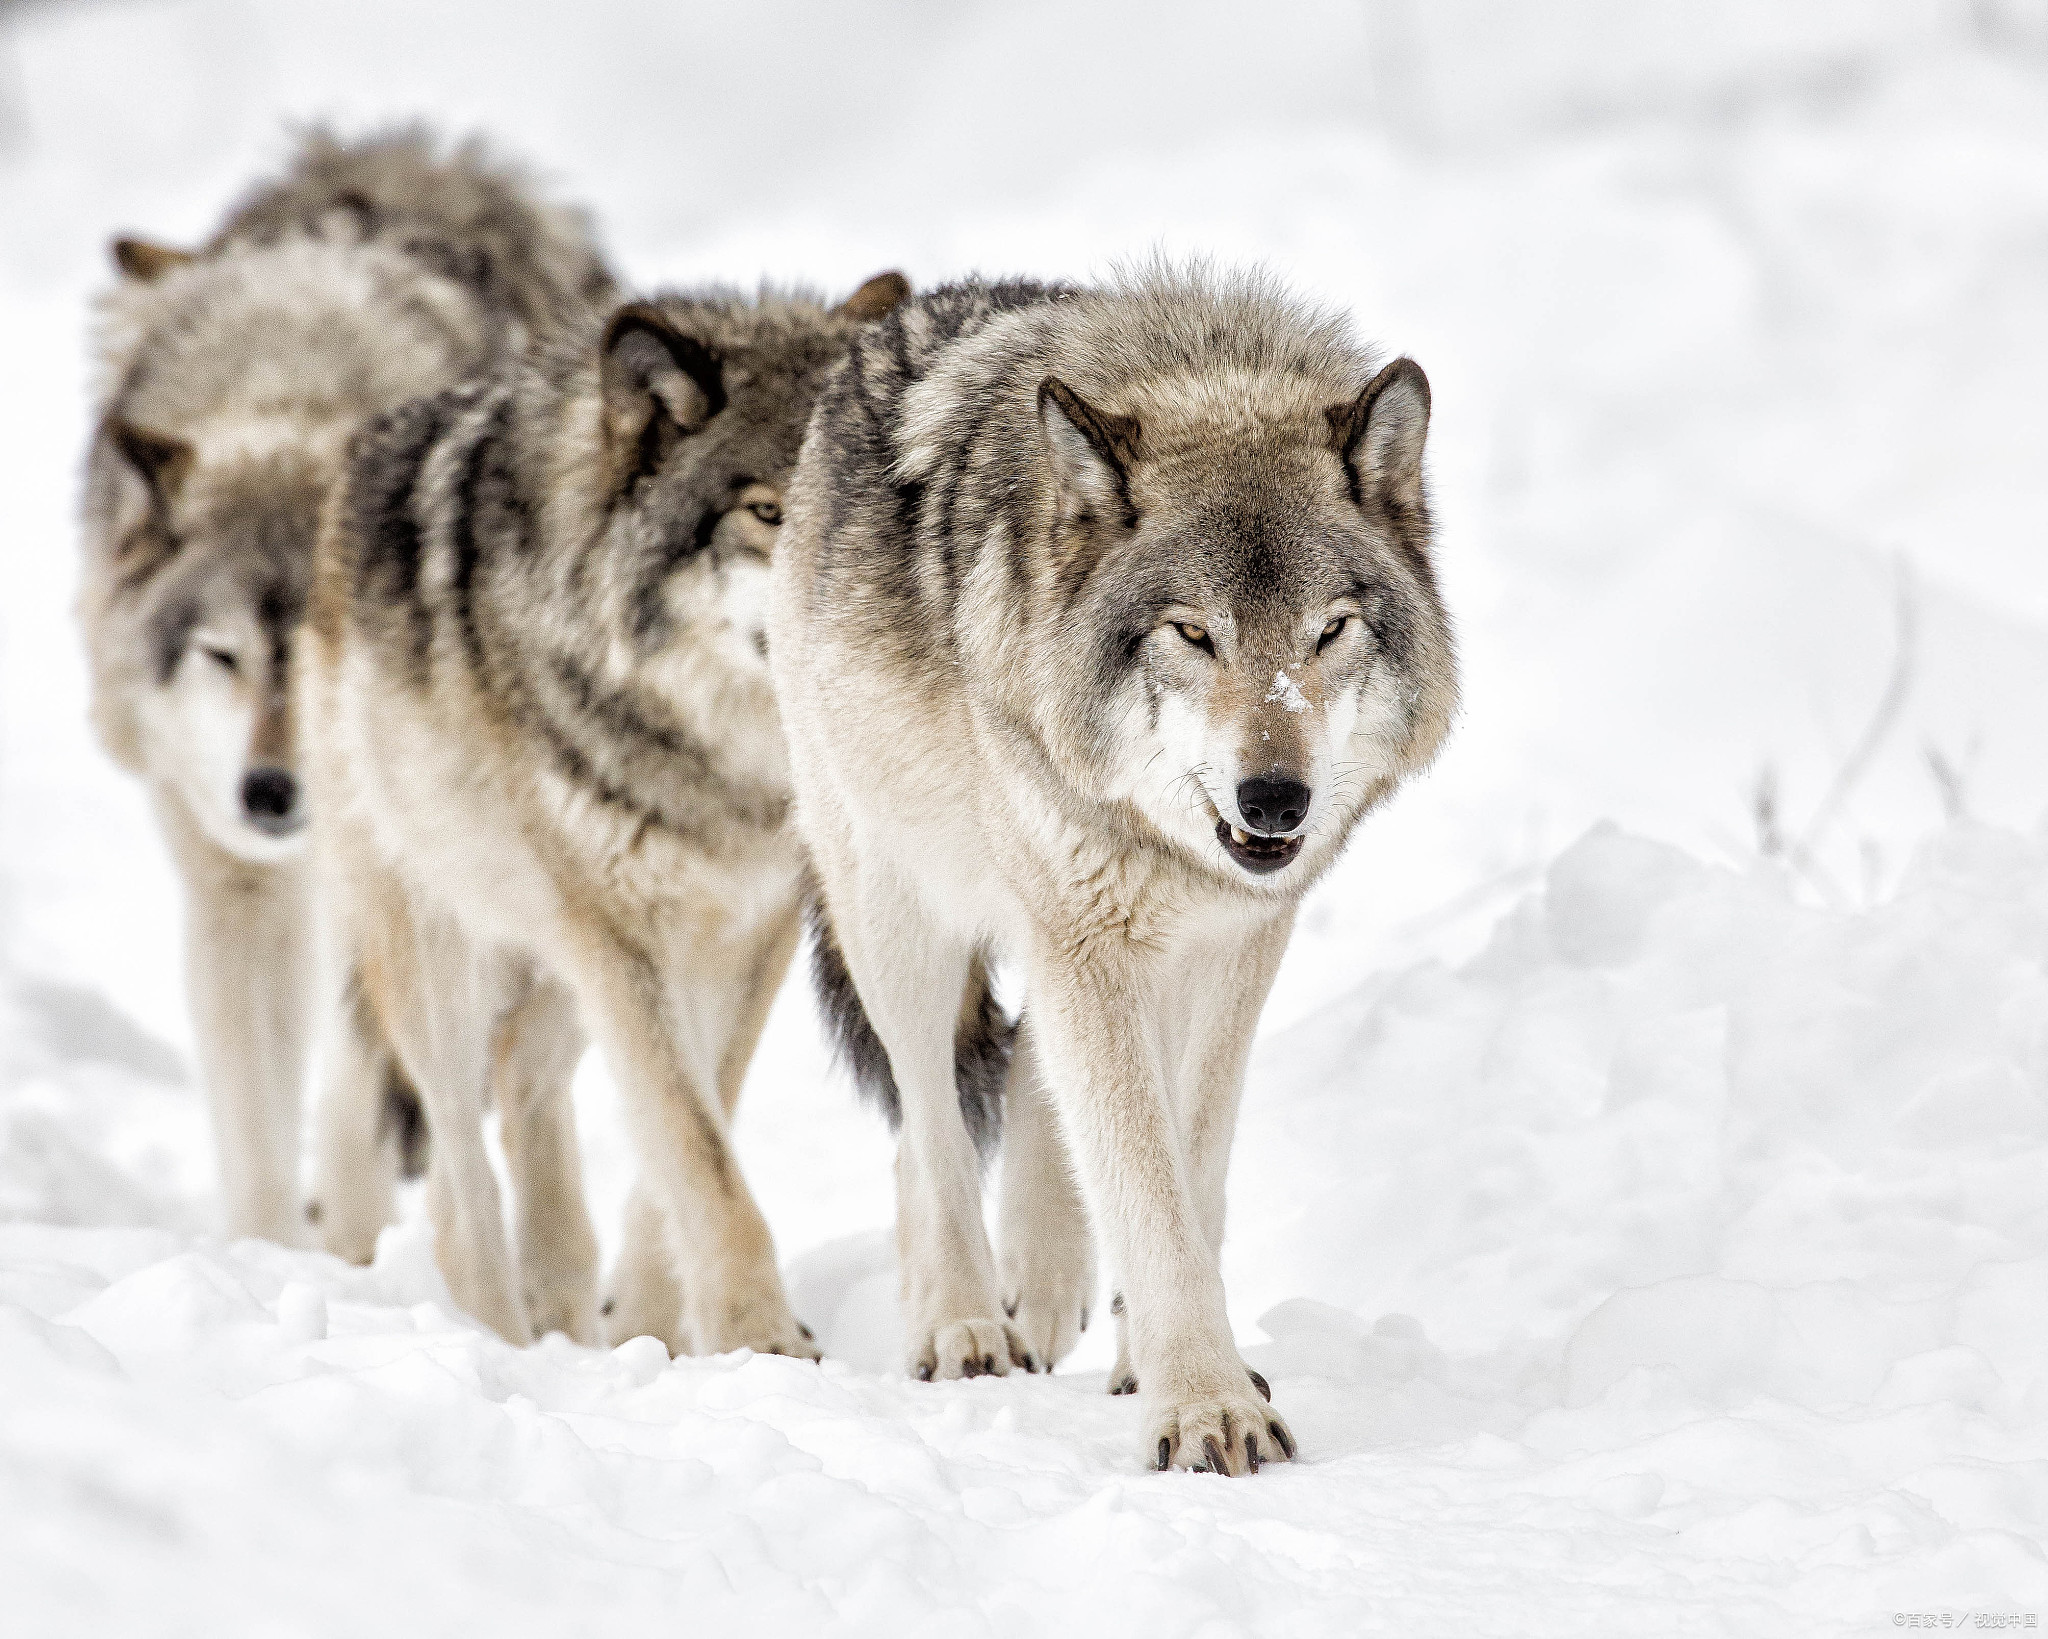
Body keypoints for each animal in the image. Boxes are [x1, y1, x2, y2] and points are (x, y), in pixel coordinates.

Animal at [83, 128, 610, 1245]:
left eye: (312, 659)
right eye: (222, 654)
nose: (273, 794)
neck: (290, 386)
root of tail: (405, 159)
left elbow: (352, 1101)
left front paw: (355, 1250)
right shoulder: (233, 884)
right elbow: (255, 1130)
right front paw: (268, 1255)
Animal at [303, 274, 913, 1352]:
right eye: (768, 512)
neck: (716, 768)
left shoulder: (743, 933)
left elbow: (699, 1125)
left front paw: (660, 1320)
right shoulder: (618, 938)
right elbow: (694, 1148)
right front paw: (757, 1336)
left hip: (557, 964)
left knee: (524, 1084)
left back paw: (565, 1300)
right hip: (437, 947)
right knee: (459, 1167)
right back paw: (500, 1331)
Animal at [770, 266, 1458, 1475]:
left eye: (1328, 630)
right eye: (1192, 633)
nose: (1273, 799)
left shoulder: (1232, 944)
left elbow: (1188, 1167)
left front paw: (1163, 1364)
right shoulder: (1084, 939)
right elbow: (1142, 1183)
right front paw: (1205, 1408)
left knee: (1024, 1090)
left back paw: (1033, 1295)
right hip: (897, 917)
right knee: (930, 1130)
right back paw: (962, 1324)